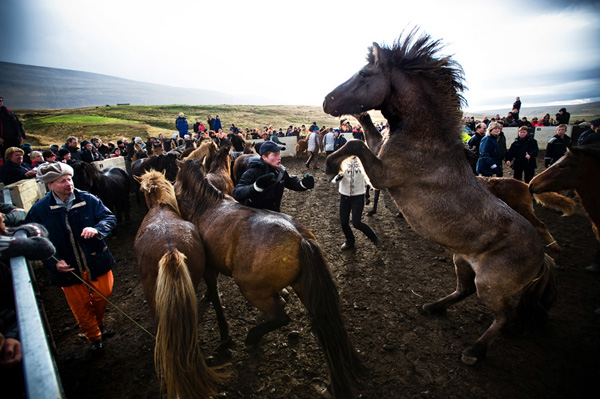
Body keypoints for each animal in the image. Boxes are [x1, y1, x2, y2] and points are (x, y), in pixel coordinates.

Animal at [172, 159, 360, 399]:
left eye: (175, 180)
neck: (206, 206)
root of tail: (301, 238)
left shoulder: (209, 269)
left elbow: (215, 297)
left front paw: (225, 333)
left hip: (252, 291)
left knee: (280, 318)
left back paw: (253, 337)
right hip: (307, 290)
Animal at [324, 32, 556, 368]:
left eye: (365, 74)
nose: (327, 100)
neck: (425, 139)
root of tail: (542, 256)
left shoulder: (384, 174)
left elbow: (355, 143)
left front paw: (331, 164)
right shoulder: (380, 153)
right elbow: (363, 136)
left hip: (491, 285)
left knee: (503, 316)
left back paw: (474, 351)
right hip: (462, 261)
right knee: (464, 290)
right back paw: (433, 306)